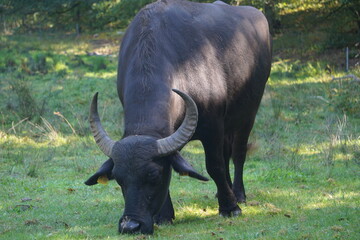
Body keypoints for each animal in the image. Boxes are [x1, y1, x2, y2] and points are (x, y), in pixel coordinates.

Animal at [85, 0, 270, 234]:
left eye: (153, 175)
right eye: (118, 178)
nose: (131, 225)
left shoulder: (213, 128)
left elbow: (215, 165)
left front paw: (230, 208)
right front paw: (164, 215)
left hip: (247, 114)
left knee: (237, 154)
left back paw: (238, 194)